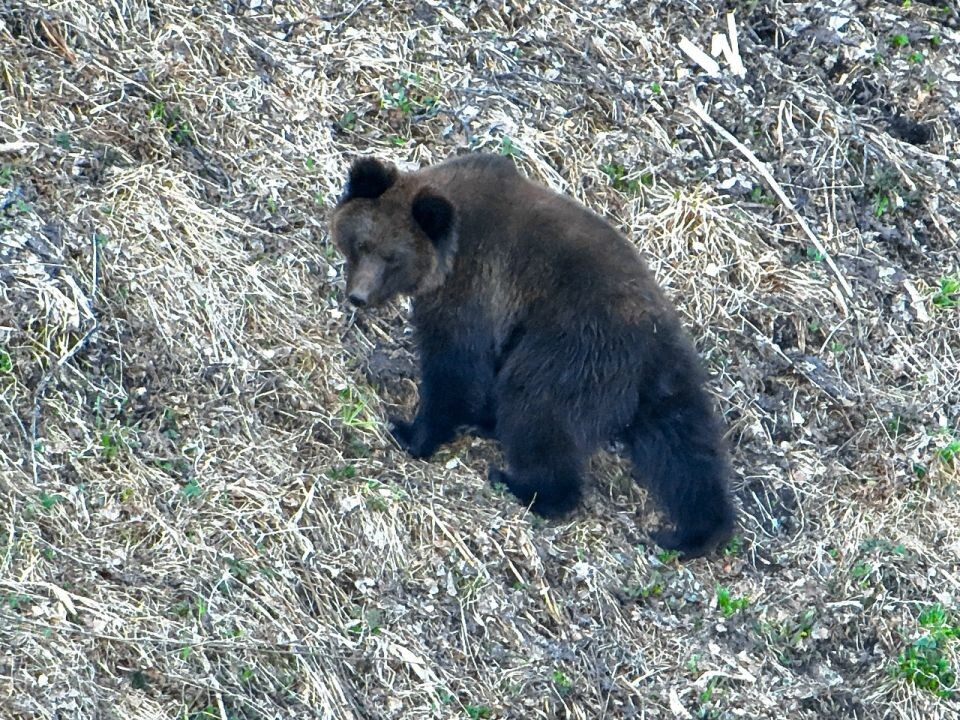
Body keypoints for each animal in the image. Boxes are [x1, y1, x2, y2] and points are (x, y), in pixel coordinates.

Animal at [329, 152, 735, 557]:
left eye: (393, 258)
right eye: (362, 244)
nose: (359, 296)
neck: (448, 254)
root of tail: (648, 342)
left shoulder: (474, 284)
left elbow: (455, 367)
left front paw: (412, 432)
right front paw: (473, 420)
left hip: (571, 349)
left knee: (538, 407)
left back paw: (525, 486)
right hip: (666, 380)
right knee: (685, 449)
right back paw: (696, 531)